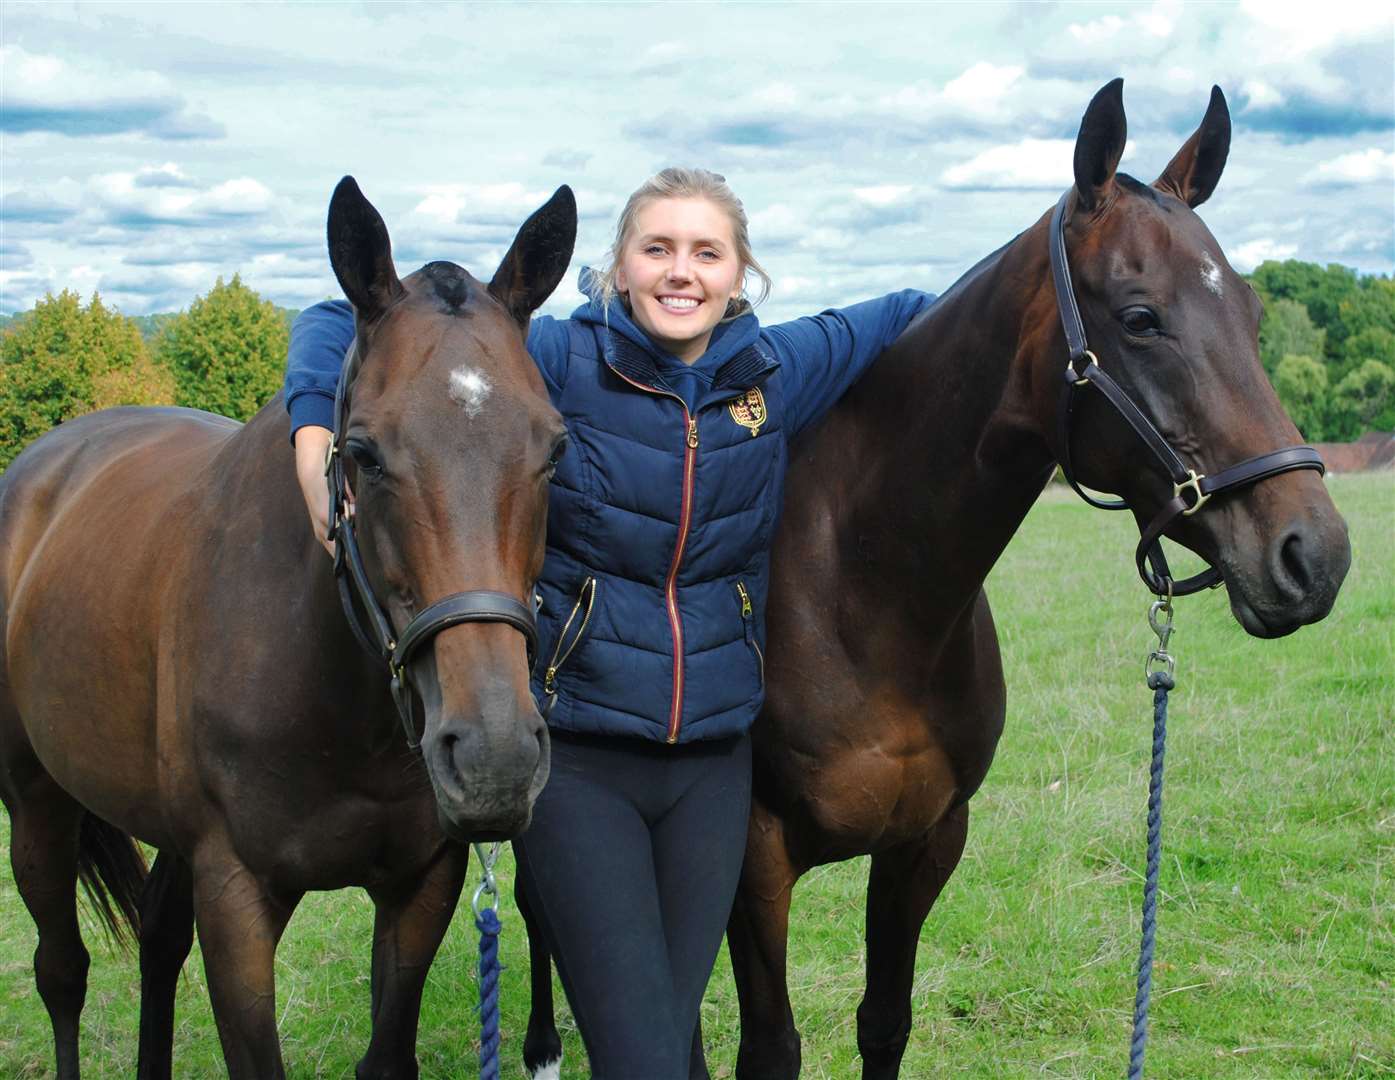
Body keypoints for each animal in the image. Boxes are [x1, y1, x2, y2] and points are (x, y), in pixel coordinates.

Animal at [0, 177, 574, 1080]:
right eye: (363, 452)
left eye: (553, 450)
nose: (493, 760)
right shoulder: (235, 897)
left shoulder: (420, 883)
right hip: (34, 799)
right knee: (62, 971)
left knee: (157, 939)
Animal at [521, 80, 1350, 1077]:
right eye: (1140, 317)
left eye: (1256, 318)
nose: (1312, 554)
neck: (866, 599)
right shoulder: (753, 857)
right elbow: (769, 1045)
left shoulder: (925, 841)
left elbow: (884, 1021)